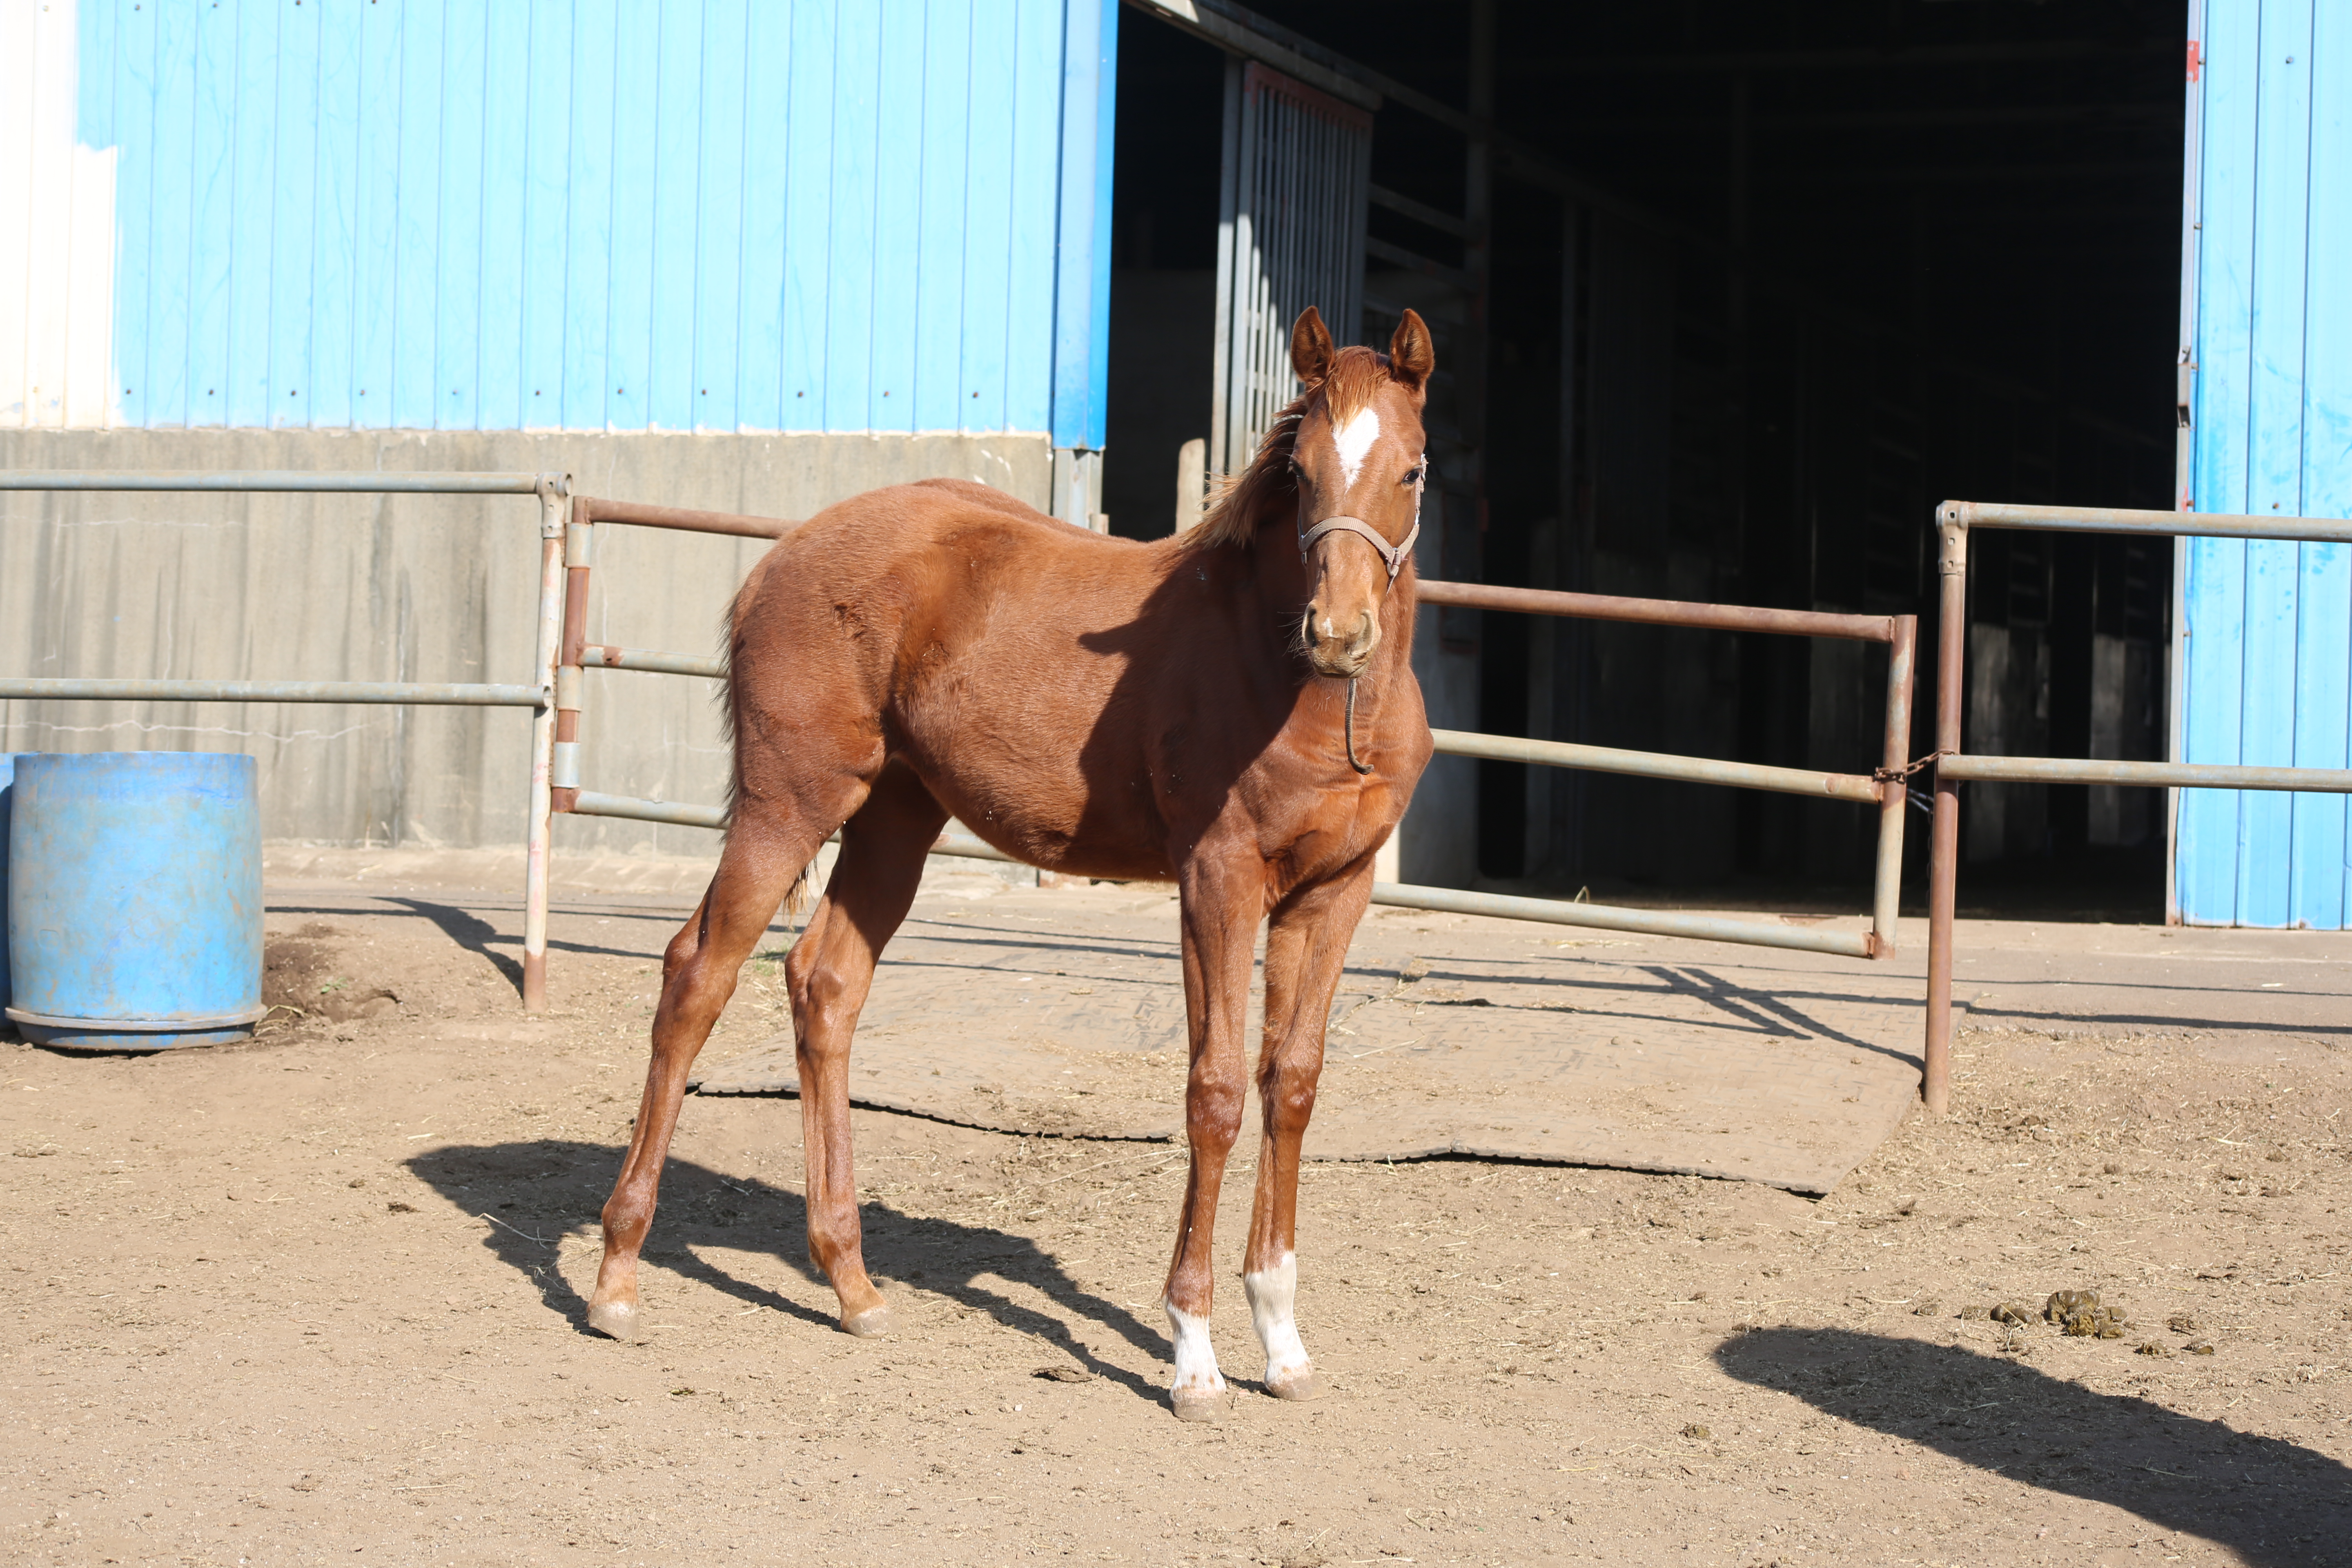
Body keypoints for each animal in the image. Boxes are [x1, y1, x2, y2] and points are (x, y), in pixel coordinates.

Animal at [588, 305, 1430, 1420]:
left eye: (1412, 469)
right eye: (1298, 472)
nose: (1337, 633)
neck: (1295, 685)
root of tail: (779, 558)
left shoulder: (1332, 894)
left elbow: (1289, 1084)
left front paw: (1283, 1344)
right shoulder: (1218, 881)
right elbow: (1212, 1092)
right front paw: (1194, 1356)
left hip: (896, 818)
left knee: (825, 986)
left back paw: (853, 1286)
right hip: (789, 804)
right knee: (697, 977)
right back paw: (615, 1279)